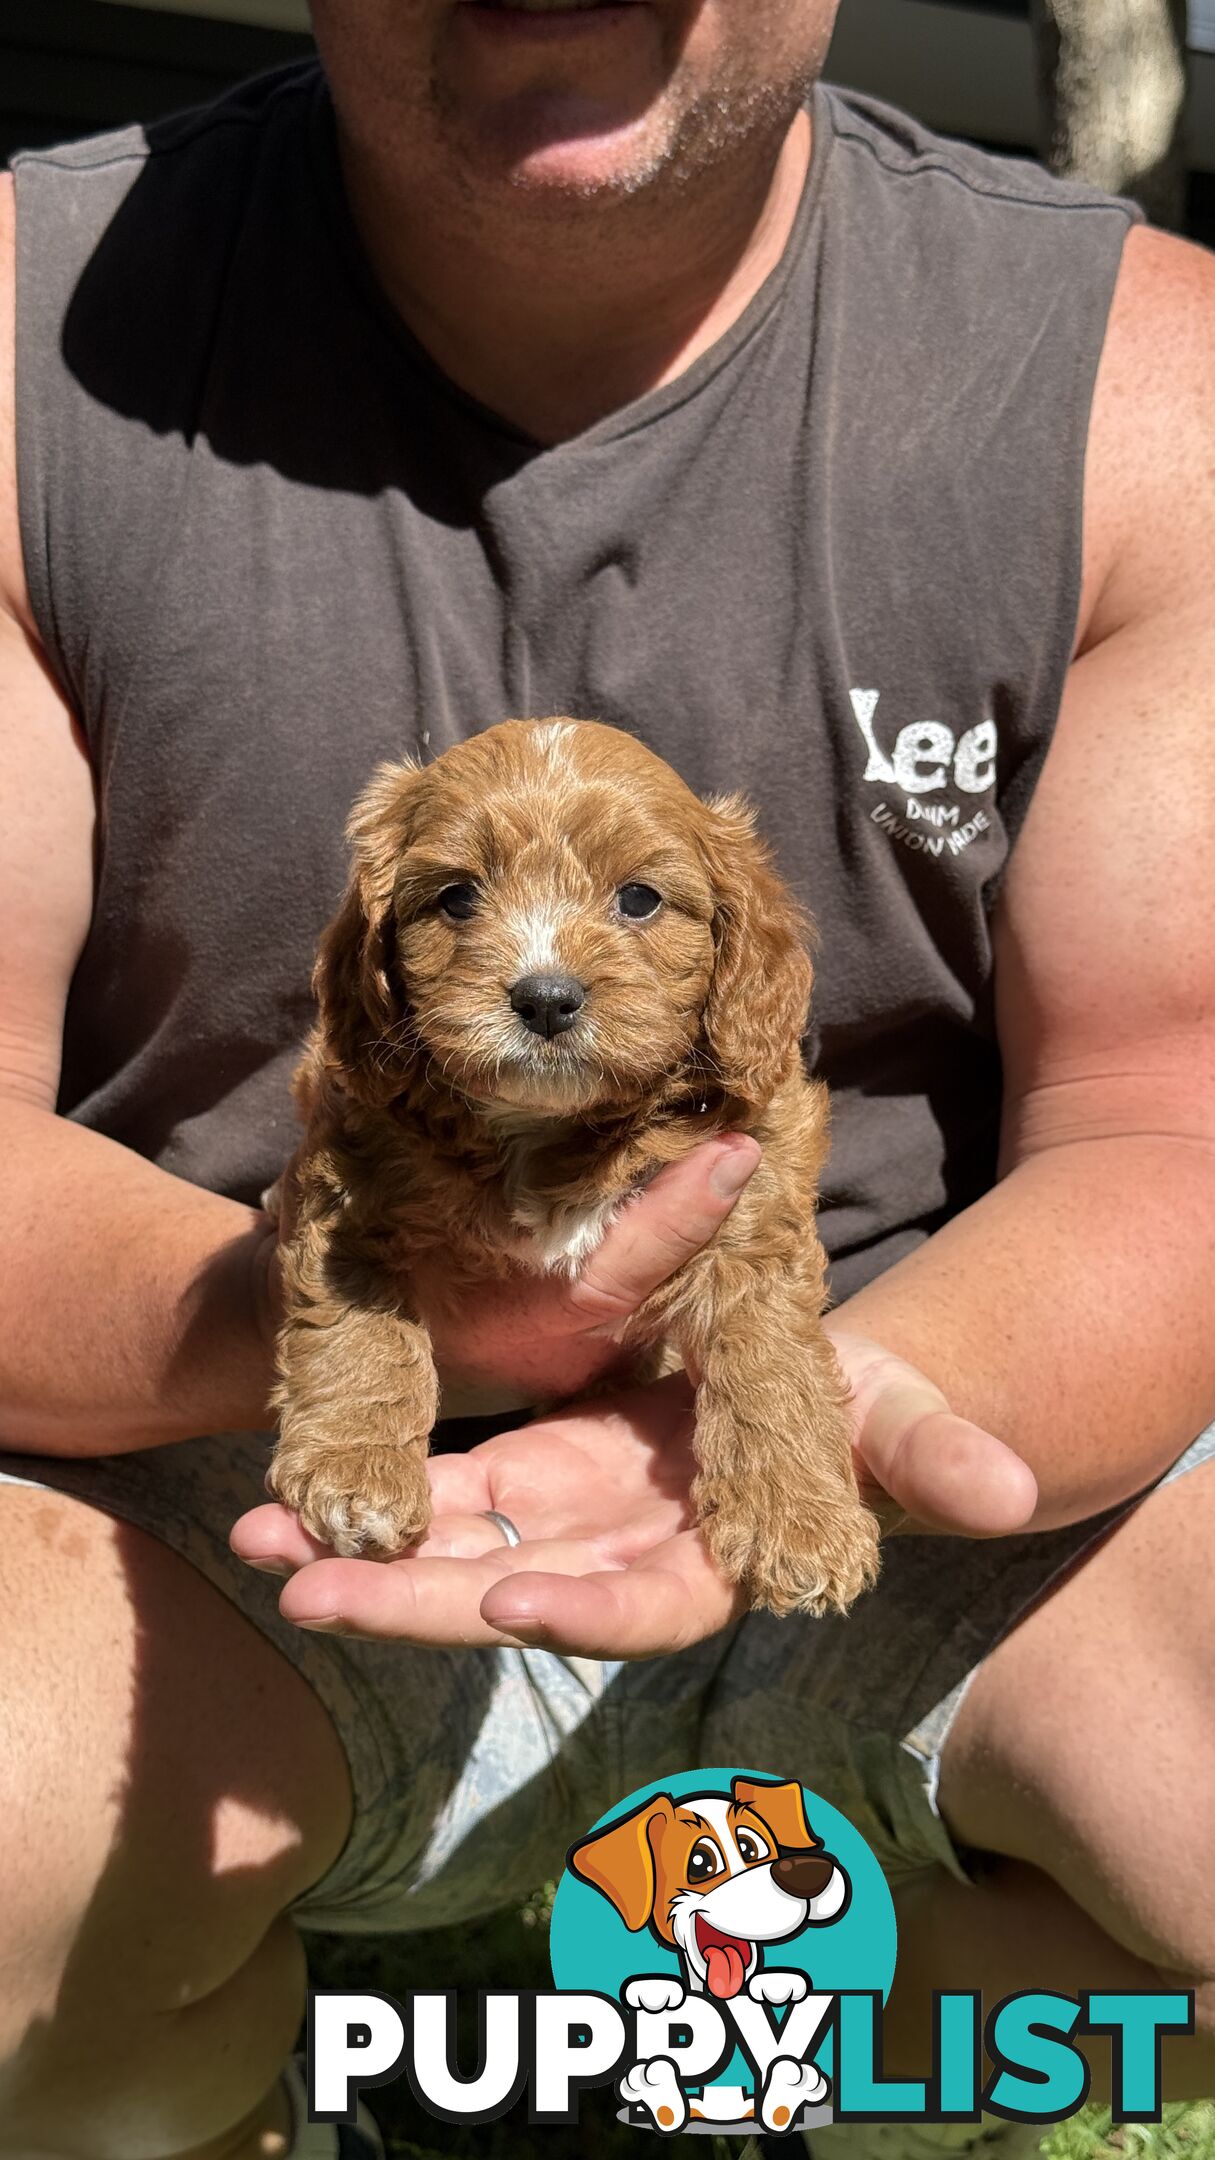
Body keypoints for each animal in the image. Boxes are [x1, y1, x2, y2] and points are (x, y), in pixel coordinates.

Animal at [264, 717, 873, 1615]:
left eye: (639, 899)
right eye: (456, 897)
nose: (545, 997)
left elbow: (771, 1363)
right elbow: (356, 1321)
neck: (542, 1127)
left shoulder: (754, 1200)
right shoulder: (349, 1185)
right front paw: (355, 1468)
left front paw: (797, 1522)